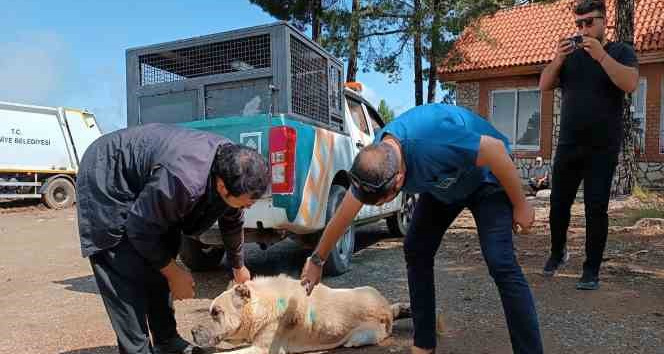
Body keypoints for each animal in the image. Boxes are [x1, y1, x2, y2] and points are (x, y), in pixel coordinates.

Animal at [191, 276, 410, 352]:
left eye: (216, 313)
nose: (192, 332)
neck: (260, 305)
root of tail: (385, 311)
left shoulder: (262, 349)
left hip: (361, 336)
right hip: (366, 288)